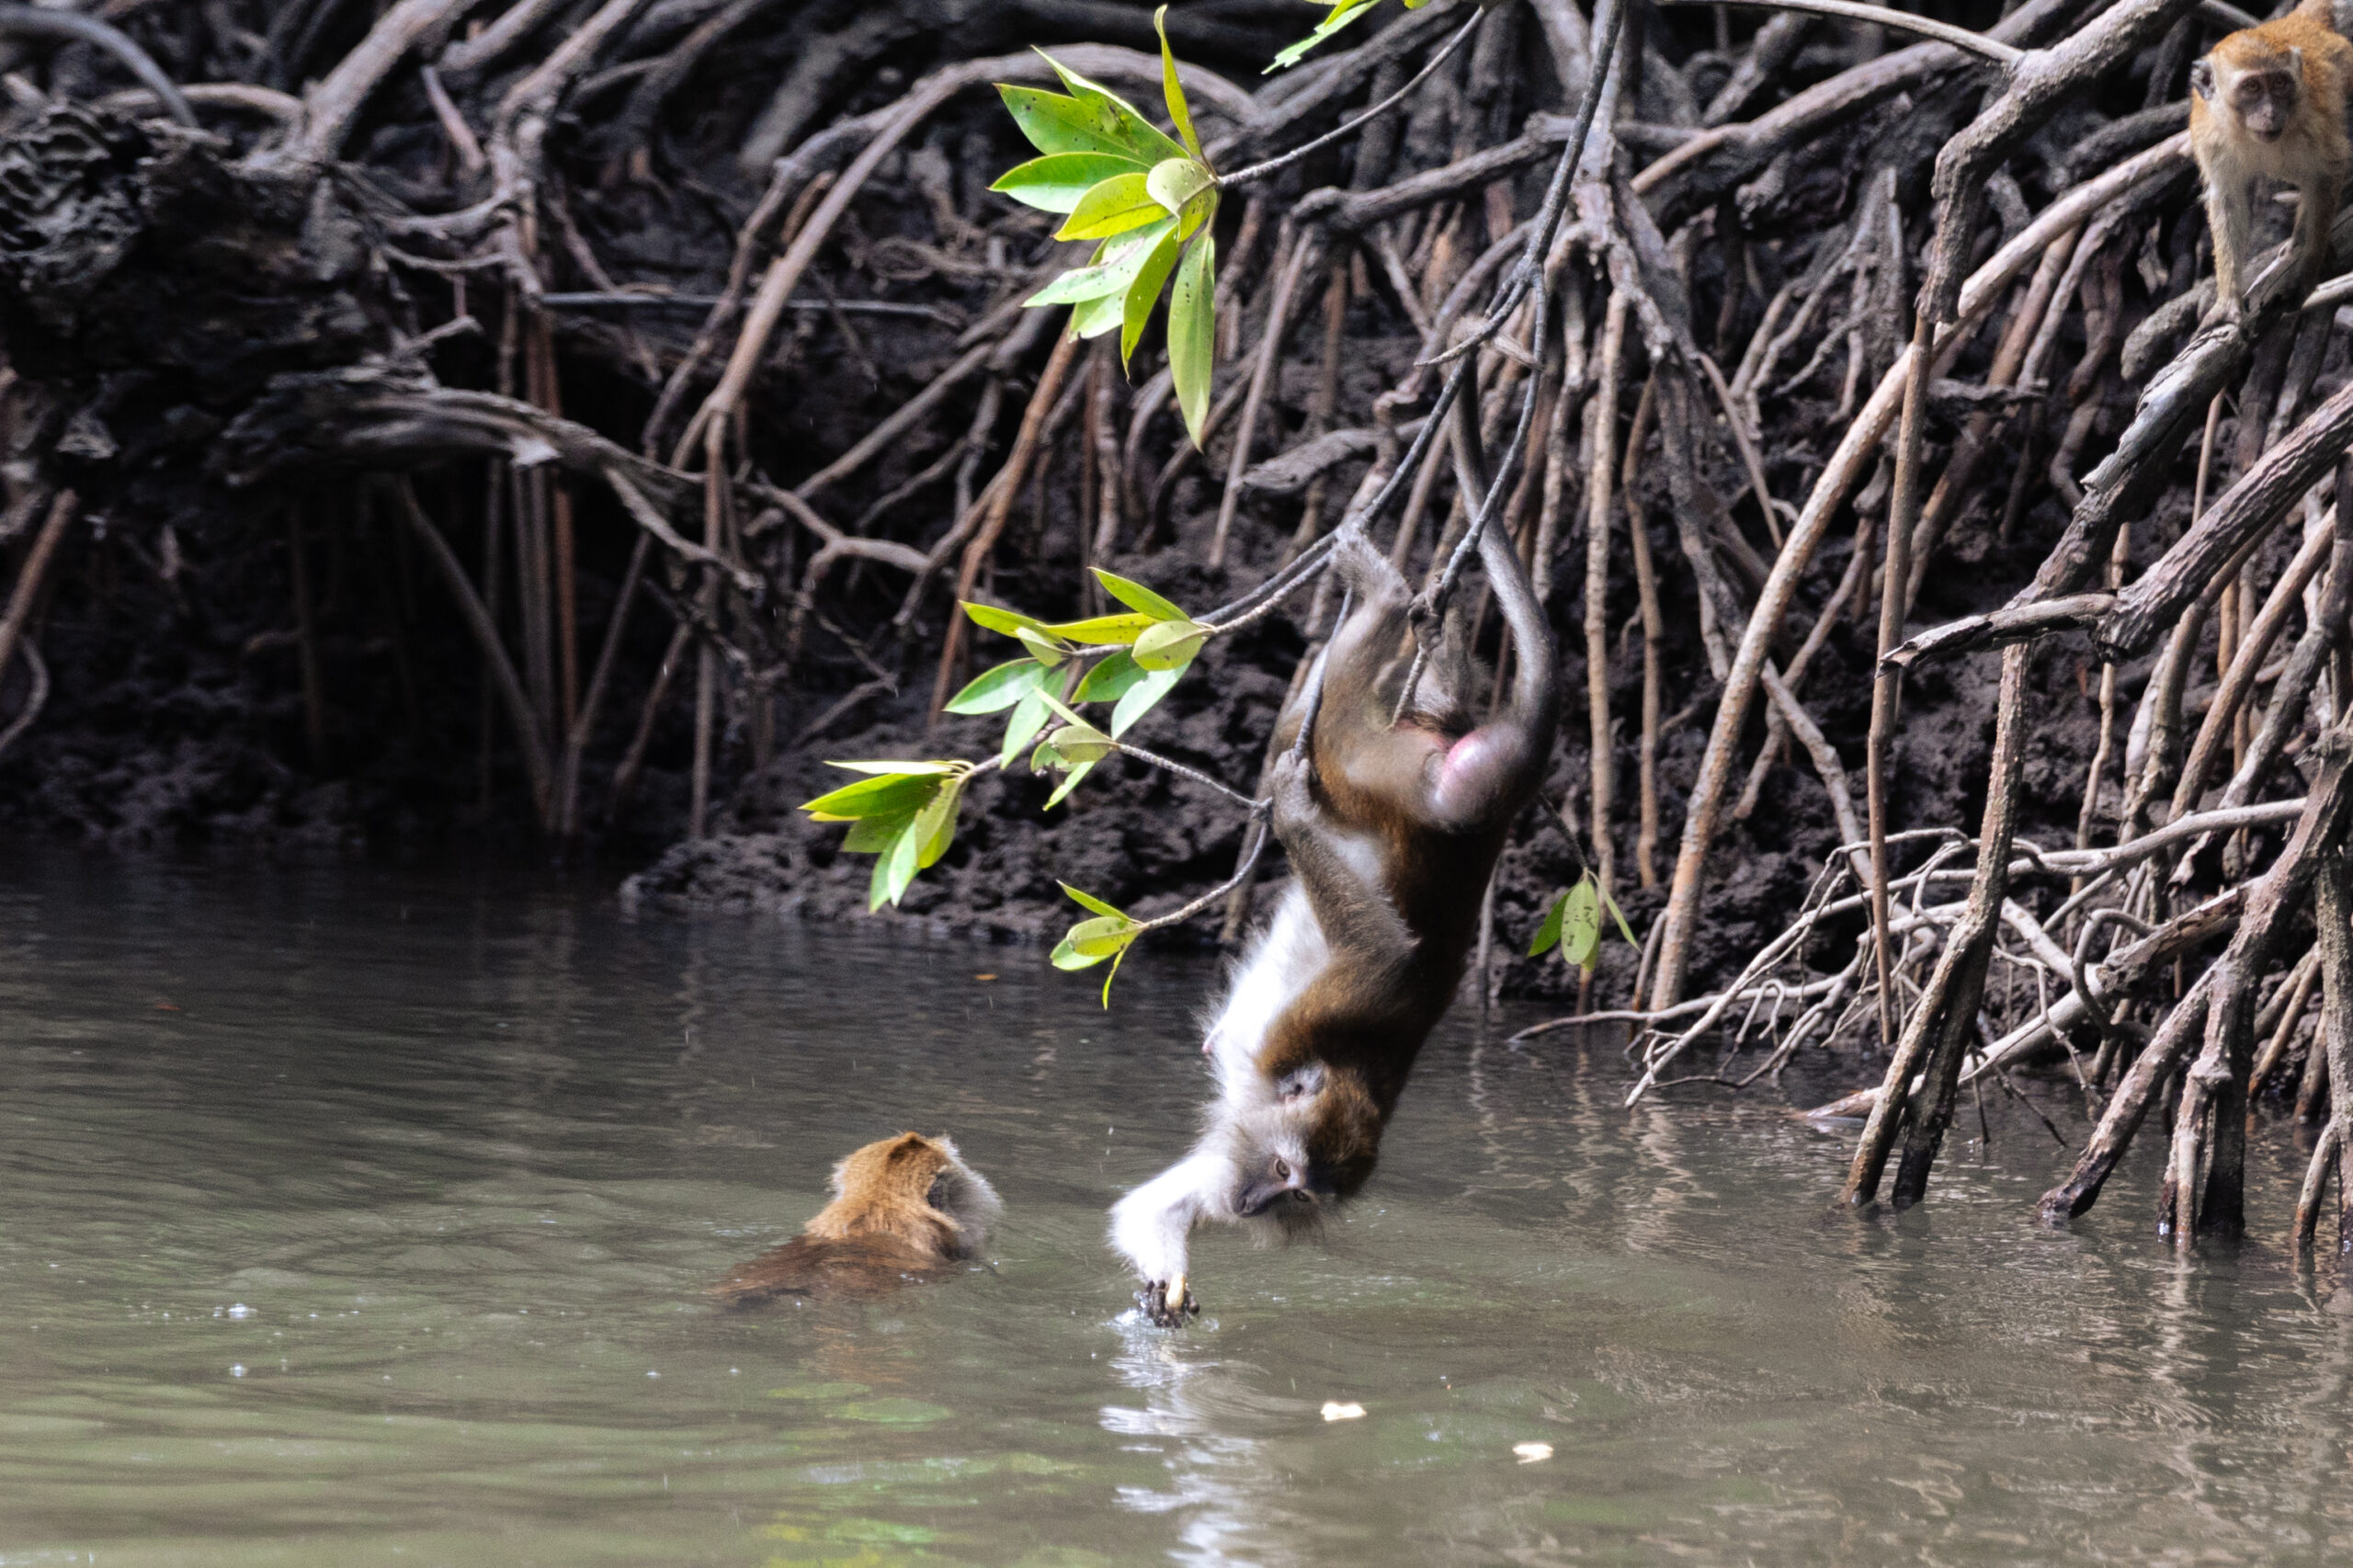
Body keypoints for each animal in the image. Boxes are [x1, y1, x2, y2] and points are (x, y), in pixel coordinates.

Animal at [1109, 488, 1559, 1329]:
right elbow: (1387, 958)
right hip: (1382, 767)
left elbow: (1160, 1208)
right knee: (1336, 720)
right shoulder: (1297, 1036)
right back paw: (1380, 607)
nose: (1254, 1205)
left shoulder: (1237, 1146)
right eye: (1286, 1171)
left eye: (1296, 1195)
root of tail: (1478, 818)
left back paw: (1434, 648)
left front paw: (1168, 1289)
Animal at [2190, 0, 2353, 321]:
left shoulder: (2311, 125)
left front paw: (2307, 267)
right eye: (2252, 87)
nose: (2270, 113)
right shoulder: (2210, 136)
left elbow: (2330, 171)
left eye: (2279, 84)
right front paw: (2228, 299)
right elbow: (2227, 197)